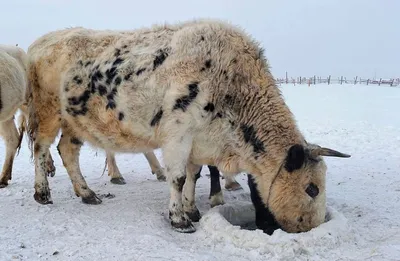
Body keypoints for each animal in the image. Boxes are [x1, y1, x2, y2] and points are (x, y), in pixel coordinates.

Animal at [26, 19, 350, 233]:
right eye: (312, 188)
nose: (312, 226)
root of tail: (38, 43)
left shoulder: (199, 142)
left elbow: (194, 175)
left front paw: (192, 209)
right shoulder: (178, 135)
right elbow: (179, 177)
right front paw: (179, 218)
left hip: (74, 121)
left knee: (68, 152)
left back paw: (87, 193)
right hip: (47, 111)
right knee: (41, 148)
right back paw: (42, 194)